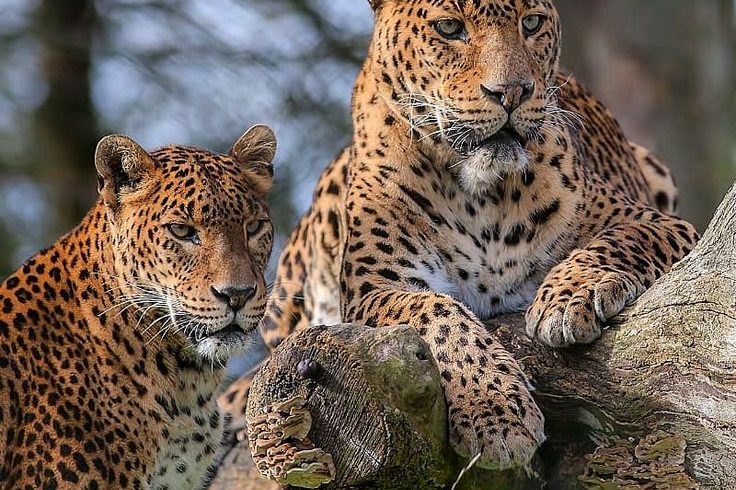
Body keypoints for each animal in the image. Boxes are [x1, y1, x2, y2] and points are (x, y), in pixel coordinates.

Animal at [220, 0, 699, 472]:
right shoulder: (375, 288)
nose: (512, 92)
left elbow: (616, 242)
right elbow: (438, 315)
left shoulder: (661, 222)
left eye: (532, 22)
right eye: (449, 28)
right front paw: (496, 413)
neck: (483, 194)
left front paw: (567, 297)